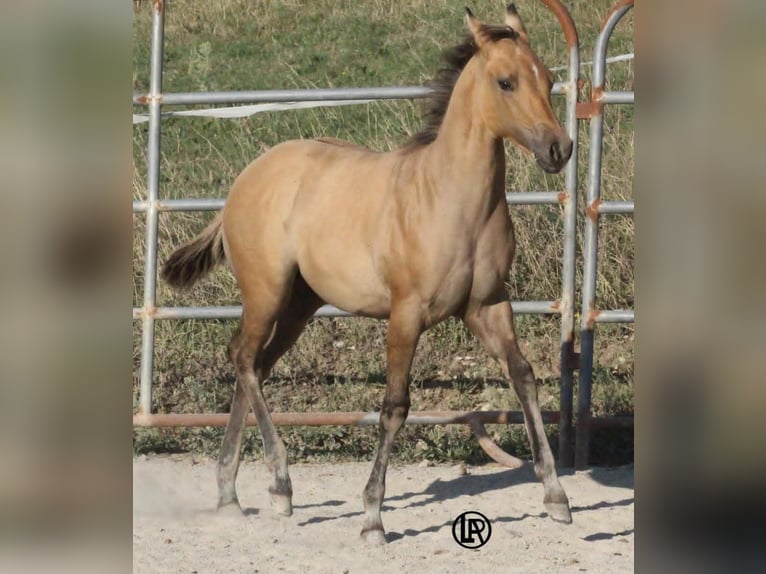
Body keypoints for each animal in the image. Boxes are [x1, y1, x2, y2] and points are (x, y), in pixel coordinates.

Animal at [161, 5, 573, 545]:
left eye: (548, 79)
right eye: (505, 82)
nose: (559, 149)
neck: (452, 201)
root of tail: (246, 179)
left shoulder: (488, 306)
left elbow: (523, 377)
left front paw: (557, 496)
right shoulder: (406, 314)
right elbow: (395, 404)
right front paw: (373, 516)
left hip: (299, 304)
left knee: (254, 364)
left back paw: (230, 493)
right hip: (266, 293)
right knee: (244, 359)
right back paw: (280, 485)